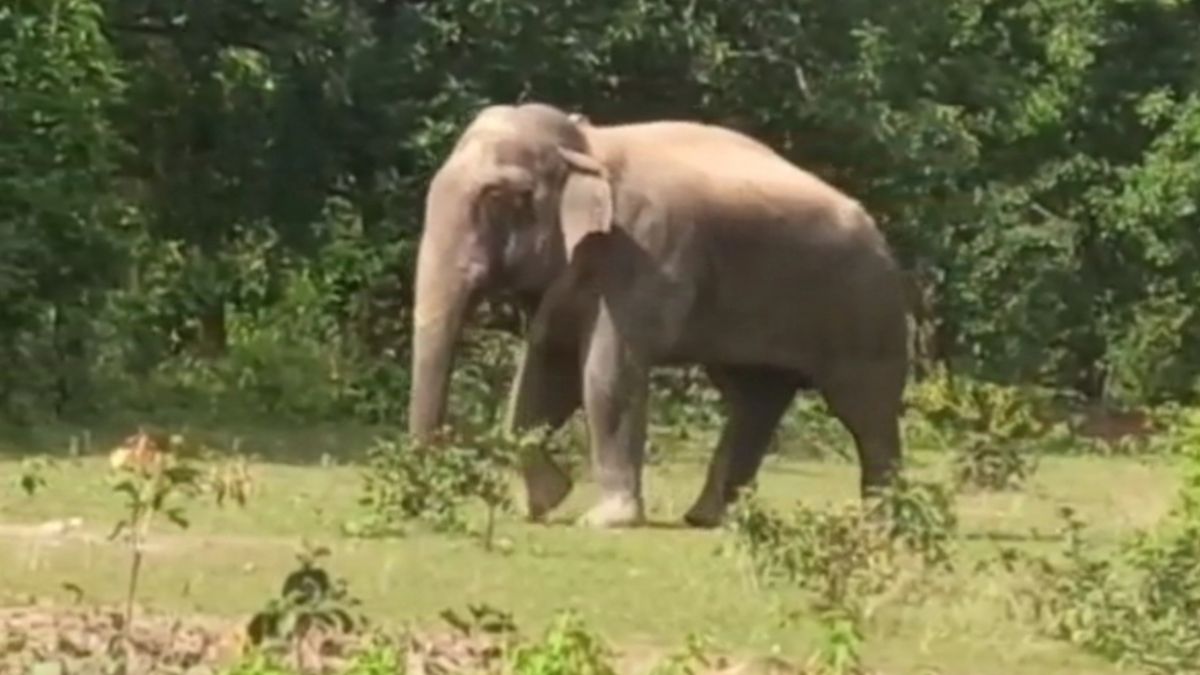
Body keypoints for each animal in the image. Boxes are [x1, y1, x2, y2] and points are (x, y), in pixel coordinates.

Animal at [408, 102, 902, 528]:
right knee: (755, 398)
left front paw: (604, 521)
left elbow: (606, 375)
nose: (432, 501)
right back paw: (705, 518)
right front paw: (542, 503)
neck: (586, 145)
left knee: (865, 409)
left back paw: (883, 525)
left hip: (865, 308)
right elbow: (546, 368)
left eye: (497, 196)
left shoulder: (645, 250)